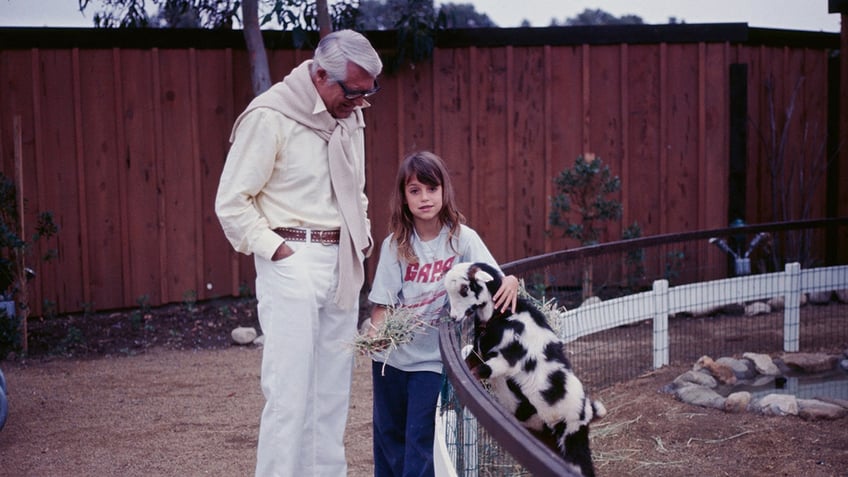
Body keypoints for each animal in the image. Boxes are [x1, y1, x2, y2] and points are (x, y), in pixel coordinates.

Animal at [444, 260, 604, 476]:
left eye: (464, 289)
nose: (454, 317)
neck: (504, 315)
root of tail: (587, 410)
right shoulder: (478, 353)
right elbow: (469, 368)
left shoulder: (505, 361)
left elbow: (479, 372)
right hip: (547, 436)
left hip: (571, 436)